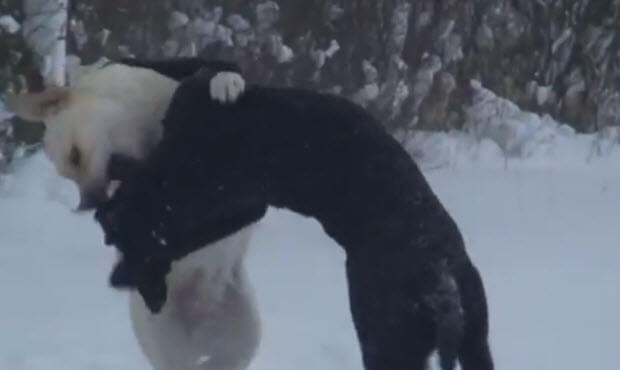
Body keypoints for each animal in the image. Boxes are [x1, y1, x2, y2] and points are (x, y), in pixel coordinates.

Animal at [95, 72, 494, 370]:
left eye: (120, 243)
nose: (116, 280)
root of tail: (441, 279)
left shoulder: (239, 204)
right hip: (474, 342)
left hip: (386, 342)